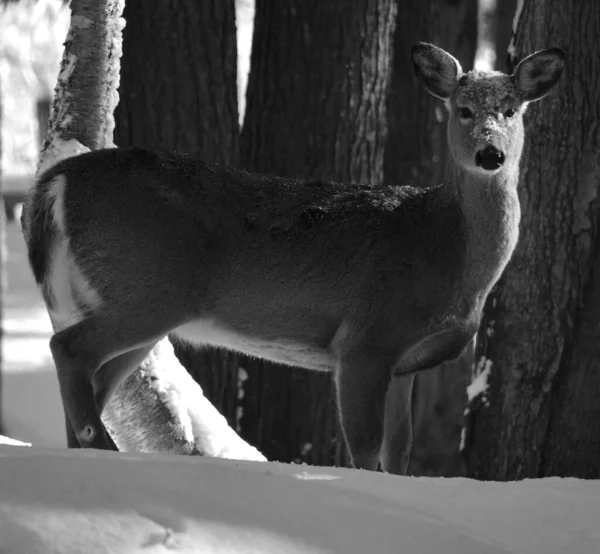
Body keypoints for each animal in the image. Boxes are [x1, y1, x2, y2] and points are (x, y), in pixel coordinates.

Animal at [19, 44, 564, 474]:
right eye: (463, 109)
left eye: (511, 110)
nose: (491, 155)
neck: (442, 247)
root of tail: (55, 181)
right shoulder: (365, 340)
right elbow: (365, 450)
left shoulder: (407, 364)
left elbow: (400, 451)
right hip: (147, 288)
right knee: (67, 348)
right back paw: (107, 452)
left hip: (139, 303)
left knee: (93, 376)